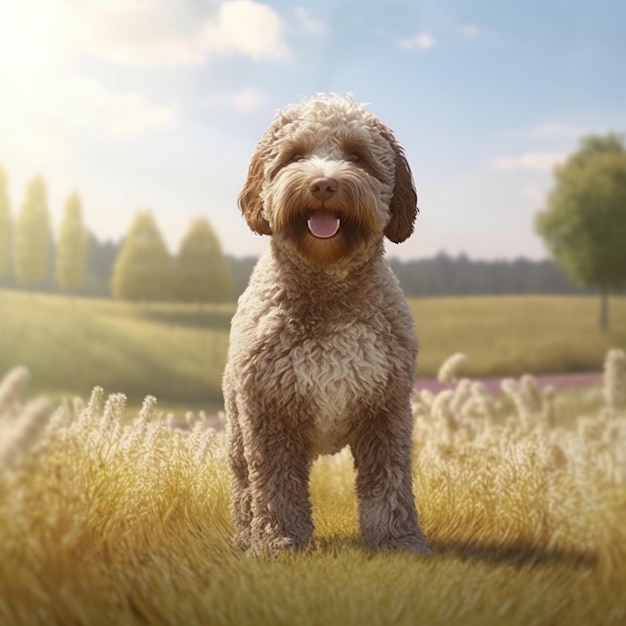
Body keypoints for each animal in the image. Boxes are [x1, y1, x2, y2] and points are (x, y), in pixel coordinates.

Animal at [221, 95, 428, 552]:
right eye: (294, 156)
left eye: (357, 155)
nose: (322, 185)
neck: (328, 290)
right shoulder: (268, 414)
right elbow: (275, 487)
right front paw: (278, 541)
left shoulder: (385, 410)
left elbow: (388, 483)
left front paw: (397, 540)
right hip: (237, 434)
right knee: (244, 489)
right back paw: (245, 536)